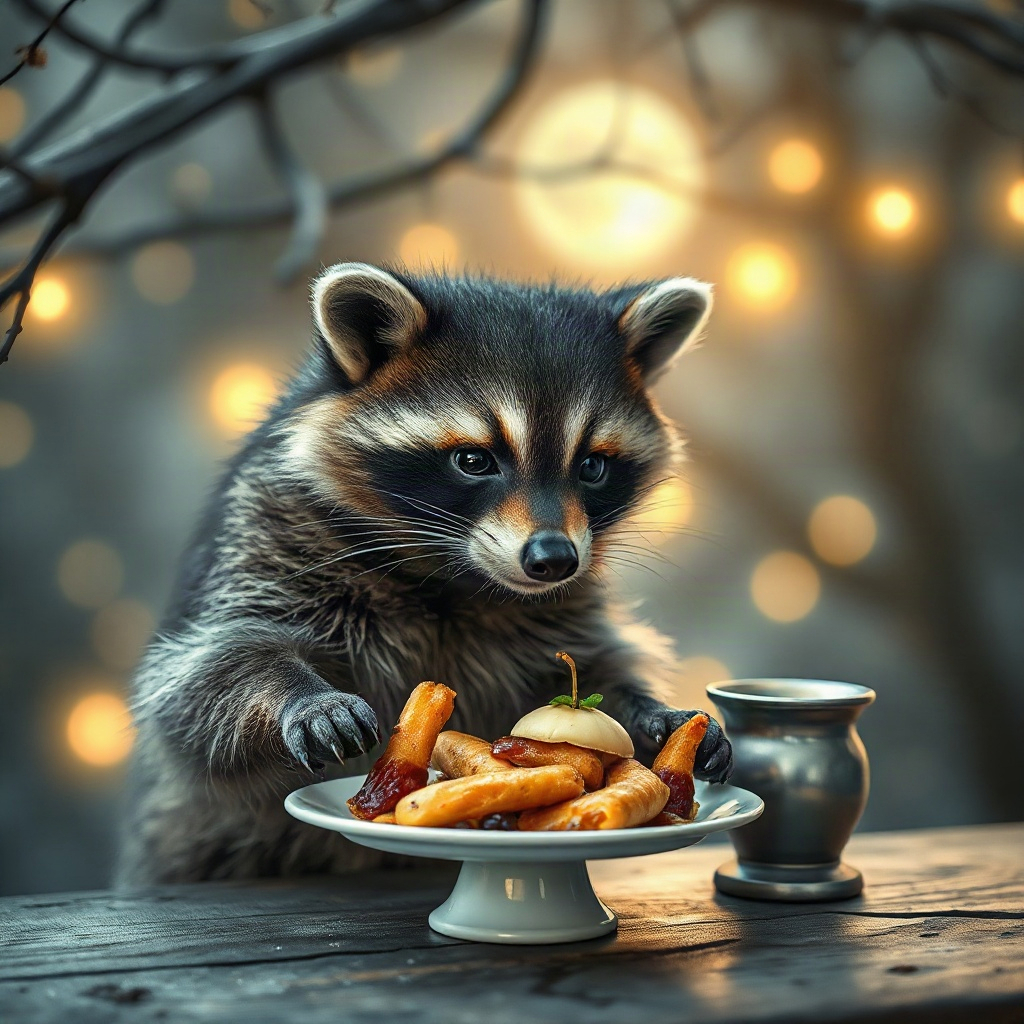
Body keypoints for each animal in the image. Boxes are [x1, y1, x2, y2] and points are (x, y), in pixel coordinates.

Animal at [117, 264, 732, 886]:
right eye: (474, 460)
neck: (455, 571)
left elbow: (585, 678)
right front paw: (300, 696)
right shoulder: (266, 533)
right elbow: (199, 676)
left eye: (593, 466)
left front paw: (657, 716)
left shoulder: (565, 607)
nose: (554, 559)